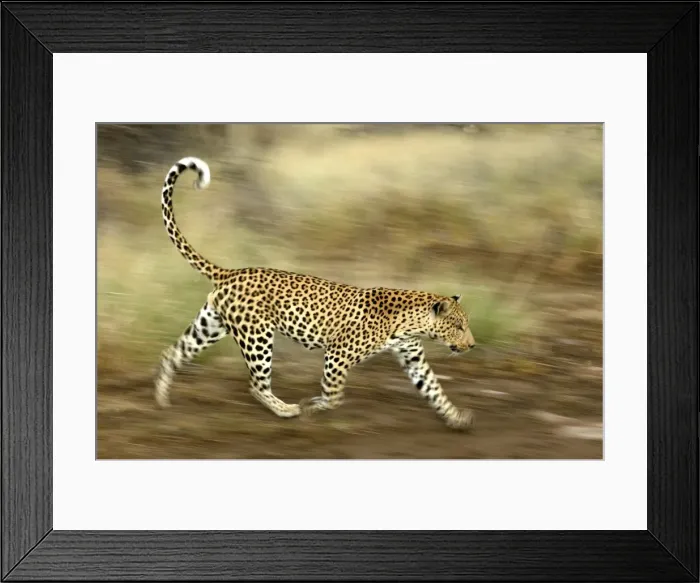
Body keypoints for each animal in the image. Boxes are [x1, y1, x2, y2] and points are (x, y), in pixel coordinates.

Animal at [154, 156, 477, 430]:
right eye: (459, 326)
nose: (472, 345)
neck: (412, 324)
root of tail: (231, 272)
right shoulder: (338, 353)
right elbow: (334, 395)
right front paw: (313, 405)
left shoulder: (414, 360)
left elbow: (435, 390)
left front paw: (457, 418)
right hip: (257, 336)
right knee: (256, 383)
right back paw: (286, 409)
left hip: (210, 327)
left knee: (172, 352)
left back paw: (160, 398)